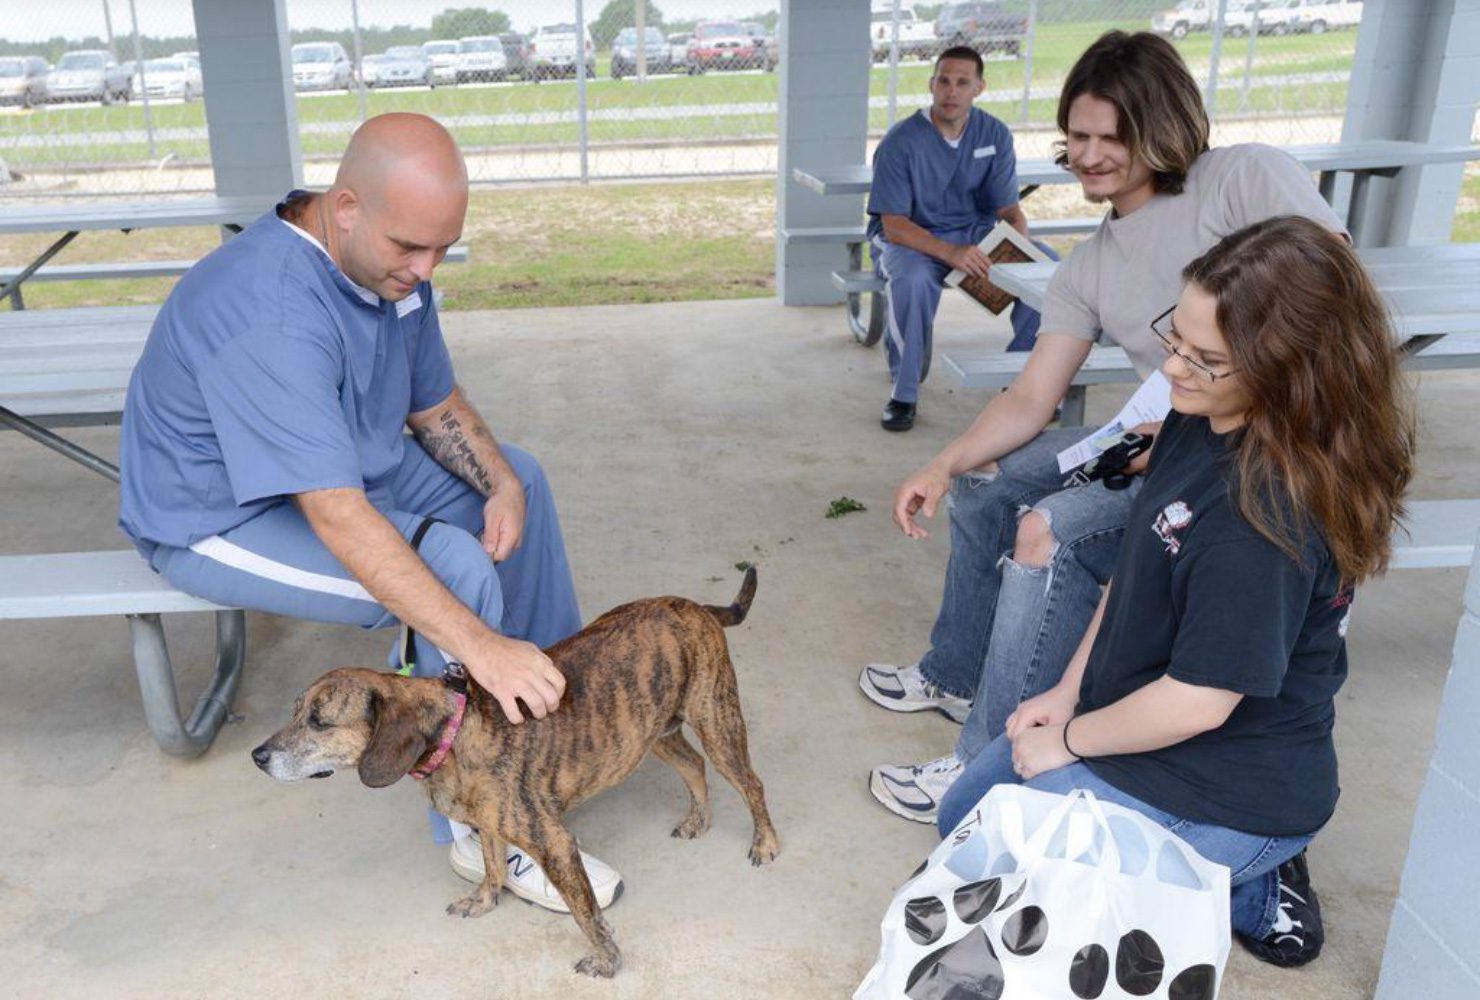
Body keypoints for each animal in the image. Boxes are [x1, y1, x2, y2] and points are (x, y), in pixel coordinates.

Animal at [251, 571, 775, 976]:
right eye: (295, 712)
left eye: (319, 721)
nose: (258, 756)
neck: (455, 731)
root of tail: (696, 607)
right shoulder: (487, 825)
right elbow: (492, 864)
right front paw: (484, 900)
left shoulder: (555, 843)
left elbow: (586, 913)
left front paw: (607, 959)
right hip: (653, 733)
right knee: (694, 765)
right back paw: (698, 819)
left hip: (717, 722)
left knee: (750, 782)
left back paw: (765, 842)